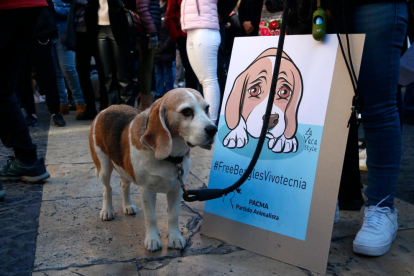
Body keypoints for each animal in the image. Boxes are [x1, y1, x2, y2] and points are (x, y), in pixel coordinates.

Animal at [89, 87, 218, 251]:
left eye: (207, 108)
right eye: (187, 111)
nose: (213, 129)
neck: (171, 157)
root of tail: (108, 108)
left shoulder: (177, 189)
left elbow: (173, 216)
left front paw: (175, 238)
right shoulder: (147, 190)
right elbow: (151, 217)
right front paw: (152, 239)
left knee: (124, 185)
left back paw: (128, 205)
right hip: (104, 167)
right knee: (107, 189)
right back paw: (107, 210)